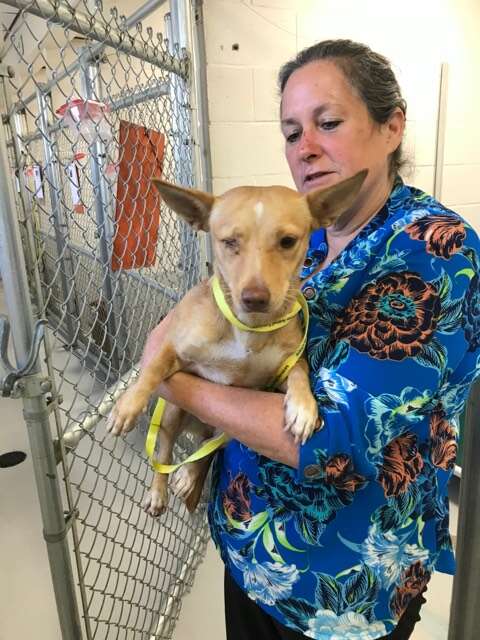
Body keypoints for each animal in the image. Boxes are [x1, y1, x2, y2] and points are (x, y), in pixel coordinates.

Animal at [107, 170, 366, 516]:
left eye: (287, 241)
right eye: (229, 242)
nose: (254, 298)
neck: (248, 327)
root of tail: (200, 425)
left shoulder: (278, 373)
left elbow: (300, 371)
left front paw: (303, 407)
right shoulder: (174, 348)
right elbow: (152, 370)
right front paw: (126, 407)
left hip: (232, 425)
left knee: (206, 449)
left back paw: (189, 475)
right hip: (173, 413)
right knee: (164, 455)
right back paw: (158, 493)